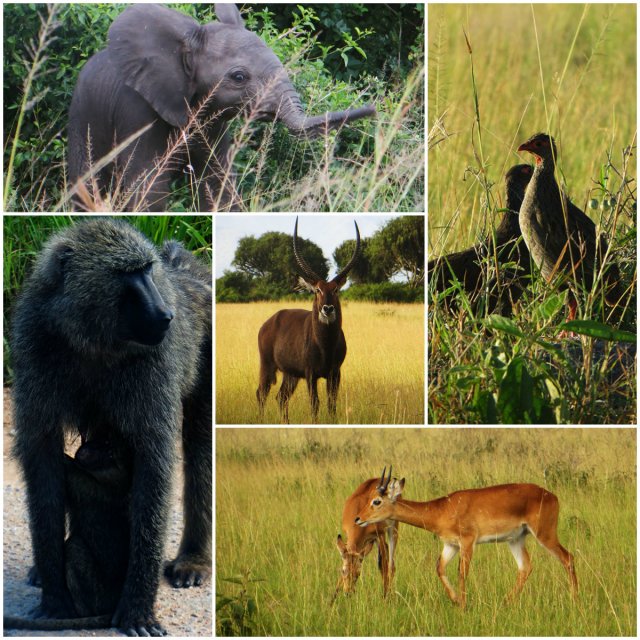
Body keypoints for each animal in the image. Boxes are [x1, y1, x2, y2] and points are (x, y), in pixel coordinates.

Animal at [4, 434, 132, 632]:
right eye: (105, 443)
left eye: (109, 450)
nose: (86, 449)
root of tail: (113, 604)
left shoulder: (87, 483)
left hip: (98, 597)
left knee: (74, 548)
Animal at [67, 3, 376, 212]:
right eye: (238, 77)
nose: (373, 108)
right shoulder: (137, 110)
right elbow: (149, 186)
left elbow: (218, 184)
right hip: (82, 114)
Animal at [256, 217, 360, 422]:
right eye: (317, 290)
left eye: (335, 290)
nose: (327, 309)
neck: (325, 345)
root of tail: (268, 323)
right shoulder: (310, 374)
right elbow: (315, 404)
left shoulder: (335, 373)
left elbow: (331, 405)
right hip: (268, 366)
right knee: (261, 393)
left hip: (290, 374)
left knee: (281, 397)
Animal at [355, 467, 578, 609]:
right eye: (369, 499)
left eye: (376, 501)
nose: (358, 519)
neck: (441, 509)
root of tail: (552, 496)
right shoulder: (450, 545)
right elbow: (440, 568)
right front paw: (456, 600)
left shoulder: (468, 542)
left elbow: (462, 572)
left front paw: (463, 605)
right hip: (515, 539)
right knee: (525, 566)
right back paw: (506, 602)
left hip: (544, 534)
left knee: (568, 557)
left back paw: (575, 599)